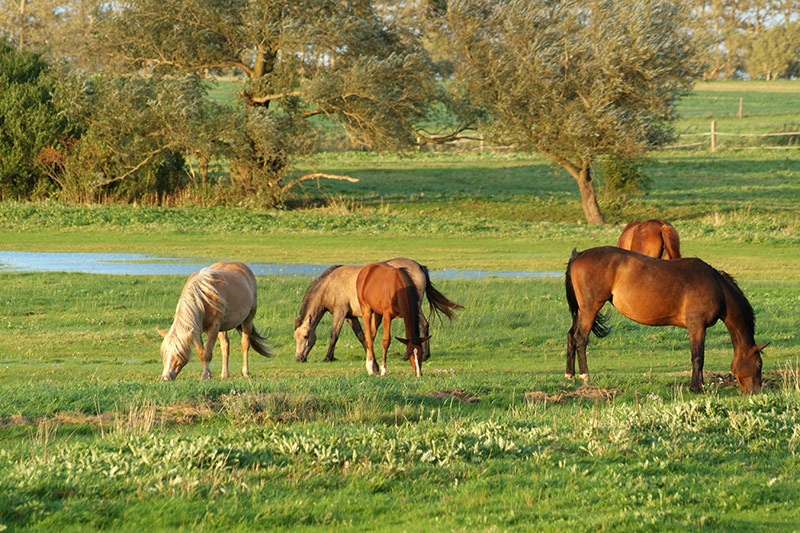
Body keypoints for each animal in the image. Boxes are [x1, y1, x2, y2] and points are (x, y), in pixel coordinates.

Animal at [294, 256, 460, 362]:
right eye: (295, 337)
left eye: (306, 336)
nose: (298, 358)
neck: (330, 284)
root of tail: (419, 266)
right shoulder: (350, 316)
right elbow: (362, 335)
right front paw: (369, 354)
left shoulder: (340, 313)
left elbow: (334, 335)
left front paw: (328, 357)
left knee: (421, 325)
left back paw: (414, 356)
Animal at [564, 247, 764, 392]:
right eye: (758, 365)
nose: (755, 392)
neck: (716, 287)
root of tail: (579, 255)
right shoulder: (697, 326)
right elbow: (698, 356)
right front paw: (696, 387)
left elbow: (699, 357)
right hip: (590, 309)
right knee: (581, 339)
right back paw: (585, 377)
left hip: (581, 312)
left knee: (571, 336)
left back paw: (570, 376)